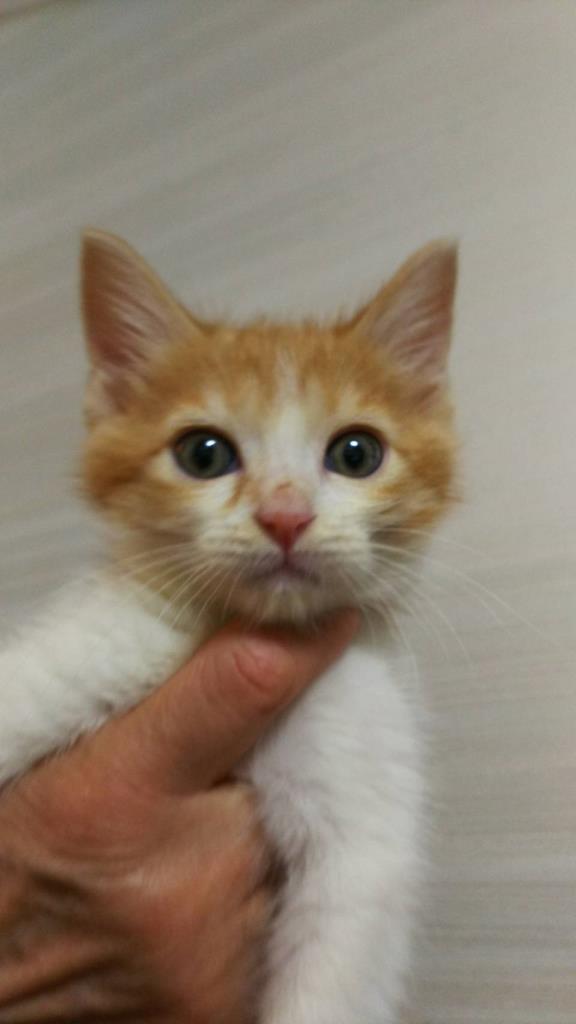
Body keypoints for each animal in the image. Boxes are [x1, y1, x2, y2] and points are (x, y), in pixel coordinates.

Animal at [0, 230, 458, 1023]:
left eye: (357, 453)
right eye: (203, 453)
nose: (285, 516)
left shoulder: (363, 814)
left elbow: (340, 960)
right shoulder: (97, 644)